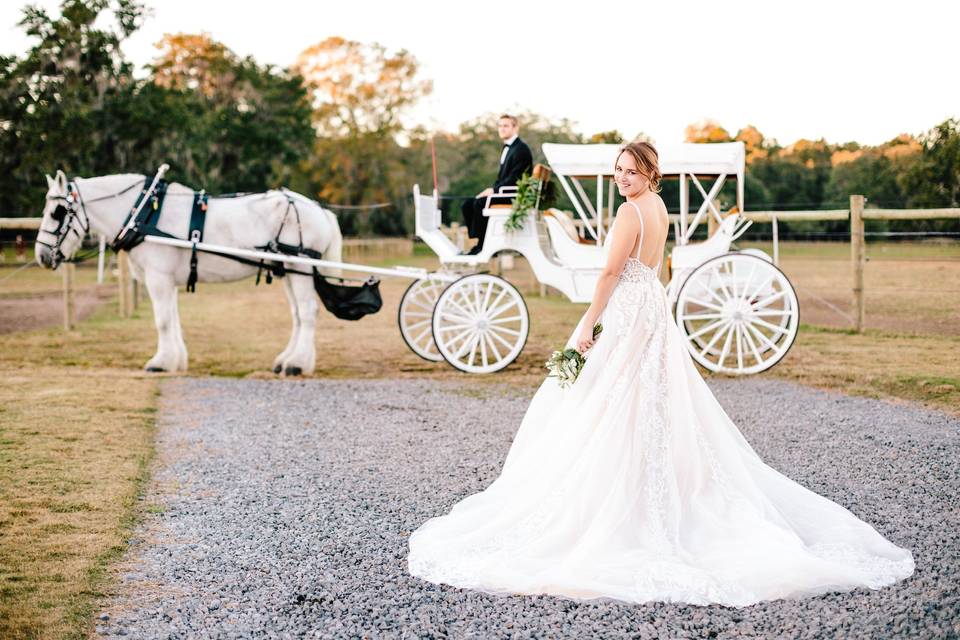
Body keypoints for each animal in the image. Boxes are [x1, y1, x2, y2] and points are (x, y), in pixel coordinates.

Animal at [37, 170, 344, 378]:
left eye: (57, 212)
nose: (41, 256)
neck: (143, 213)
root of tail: (319, 210)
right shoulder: (167, 280)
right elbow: (172, 319)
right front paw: (176, 360)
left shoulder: (158, 277)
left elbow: (162, 321)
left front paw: (160, 362)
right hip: (289, 272)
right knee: (297, 315)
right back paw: (286, 360)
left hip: (300, 268)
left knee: (307, 312)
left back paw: (297, 364)